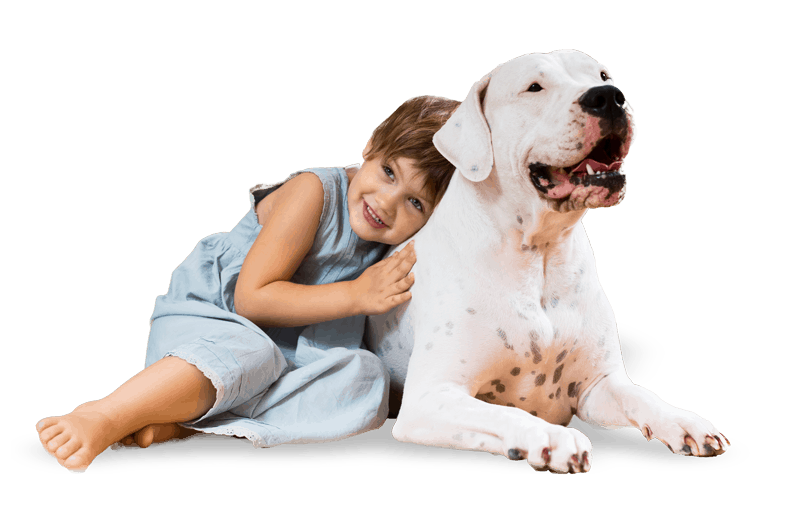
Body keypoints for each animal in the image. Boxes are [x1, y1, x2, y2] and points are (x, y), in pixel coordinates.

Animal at [366, 50, 728, 474]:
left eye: (603, 75)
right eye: (534, 87)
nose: (609, 97)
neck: (539, 253)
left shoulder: (597, 387)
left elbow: (642, 395)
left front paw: (683, 421)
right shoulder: (430, 397)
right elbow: (505, 412)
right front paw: (553, 437)